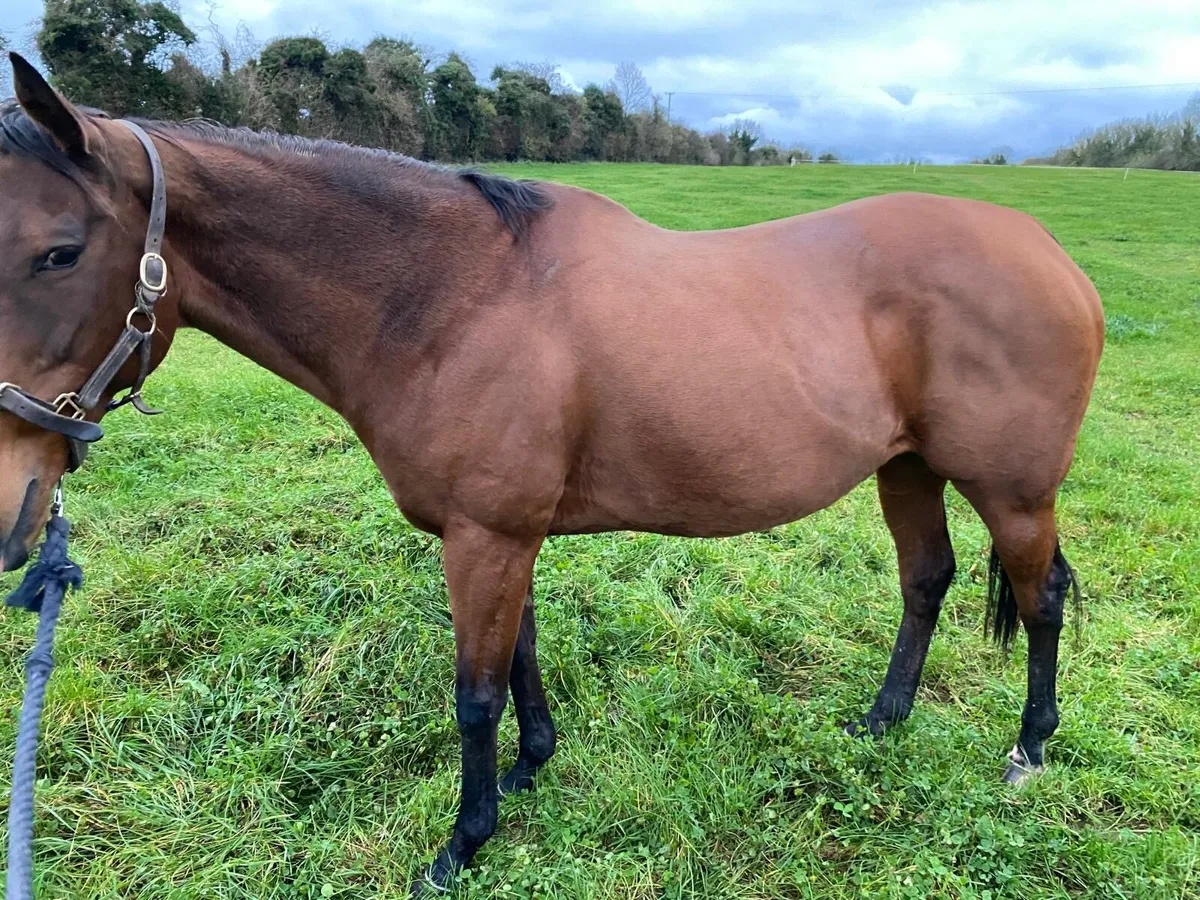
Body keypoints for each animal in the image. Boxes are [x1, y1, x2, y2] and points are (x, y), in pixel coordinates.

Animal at [0, 53, 1103, 894]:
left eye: (58, 253)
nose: (14, 509)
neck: (456, 297)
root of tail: (1053, 258)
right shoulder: (500, 531)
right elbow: (521, 658)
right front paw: (530, 773)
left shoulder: (487, 535)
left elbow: (475, 692)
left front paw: (462, 842)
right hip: (907, 469)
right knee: (926, 581)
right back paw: (881, 723)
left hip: (1014, 492)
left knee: (1041, 597)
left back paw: (1029, 749)